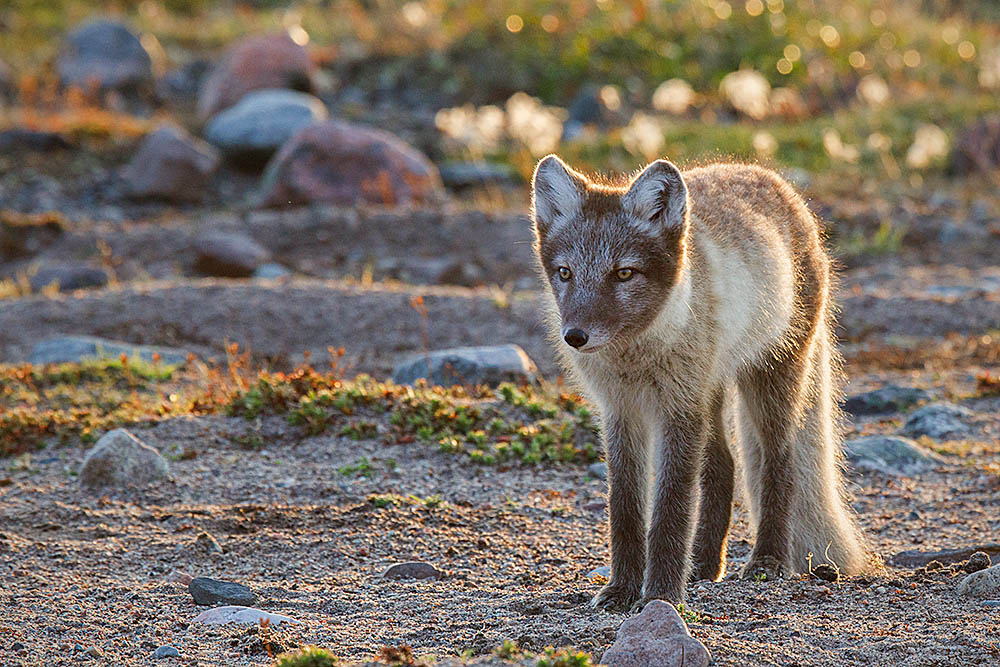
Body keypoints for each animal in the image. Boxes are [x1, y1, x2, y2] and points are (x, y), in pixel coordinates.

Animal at [532, 155, 868, 612]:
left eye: (624, 273)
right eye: (565, 273)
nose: (575, 337)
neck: (636, 358)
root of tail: (768, 176)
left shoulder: (679, 411)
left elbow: (671, 508)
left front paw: (661, 595)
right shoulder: (621, 412)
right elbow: (625, 510)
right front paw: (623, 589)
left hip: (771, 381)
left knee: (781, 463)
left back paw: (767, 560)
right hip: (711, 394)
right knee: (725, 466)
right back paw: (705, 565)